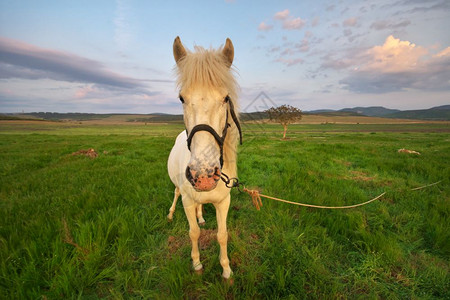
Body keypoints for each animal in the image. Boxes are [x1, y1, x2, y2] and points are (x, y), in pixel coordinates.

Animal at [167, 37, 241, 278]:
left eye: (226, 98)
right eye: (182, 98)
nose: (204, 176)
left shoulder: (223, 202)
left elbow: (222, 235)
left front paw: (226, 270)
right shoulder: (188, 202)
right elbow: (194, 233)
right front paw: (197, 263)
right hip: (179, 189)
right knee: (175, 193)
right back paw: (170, 214)